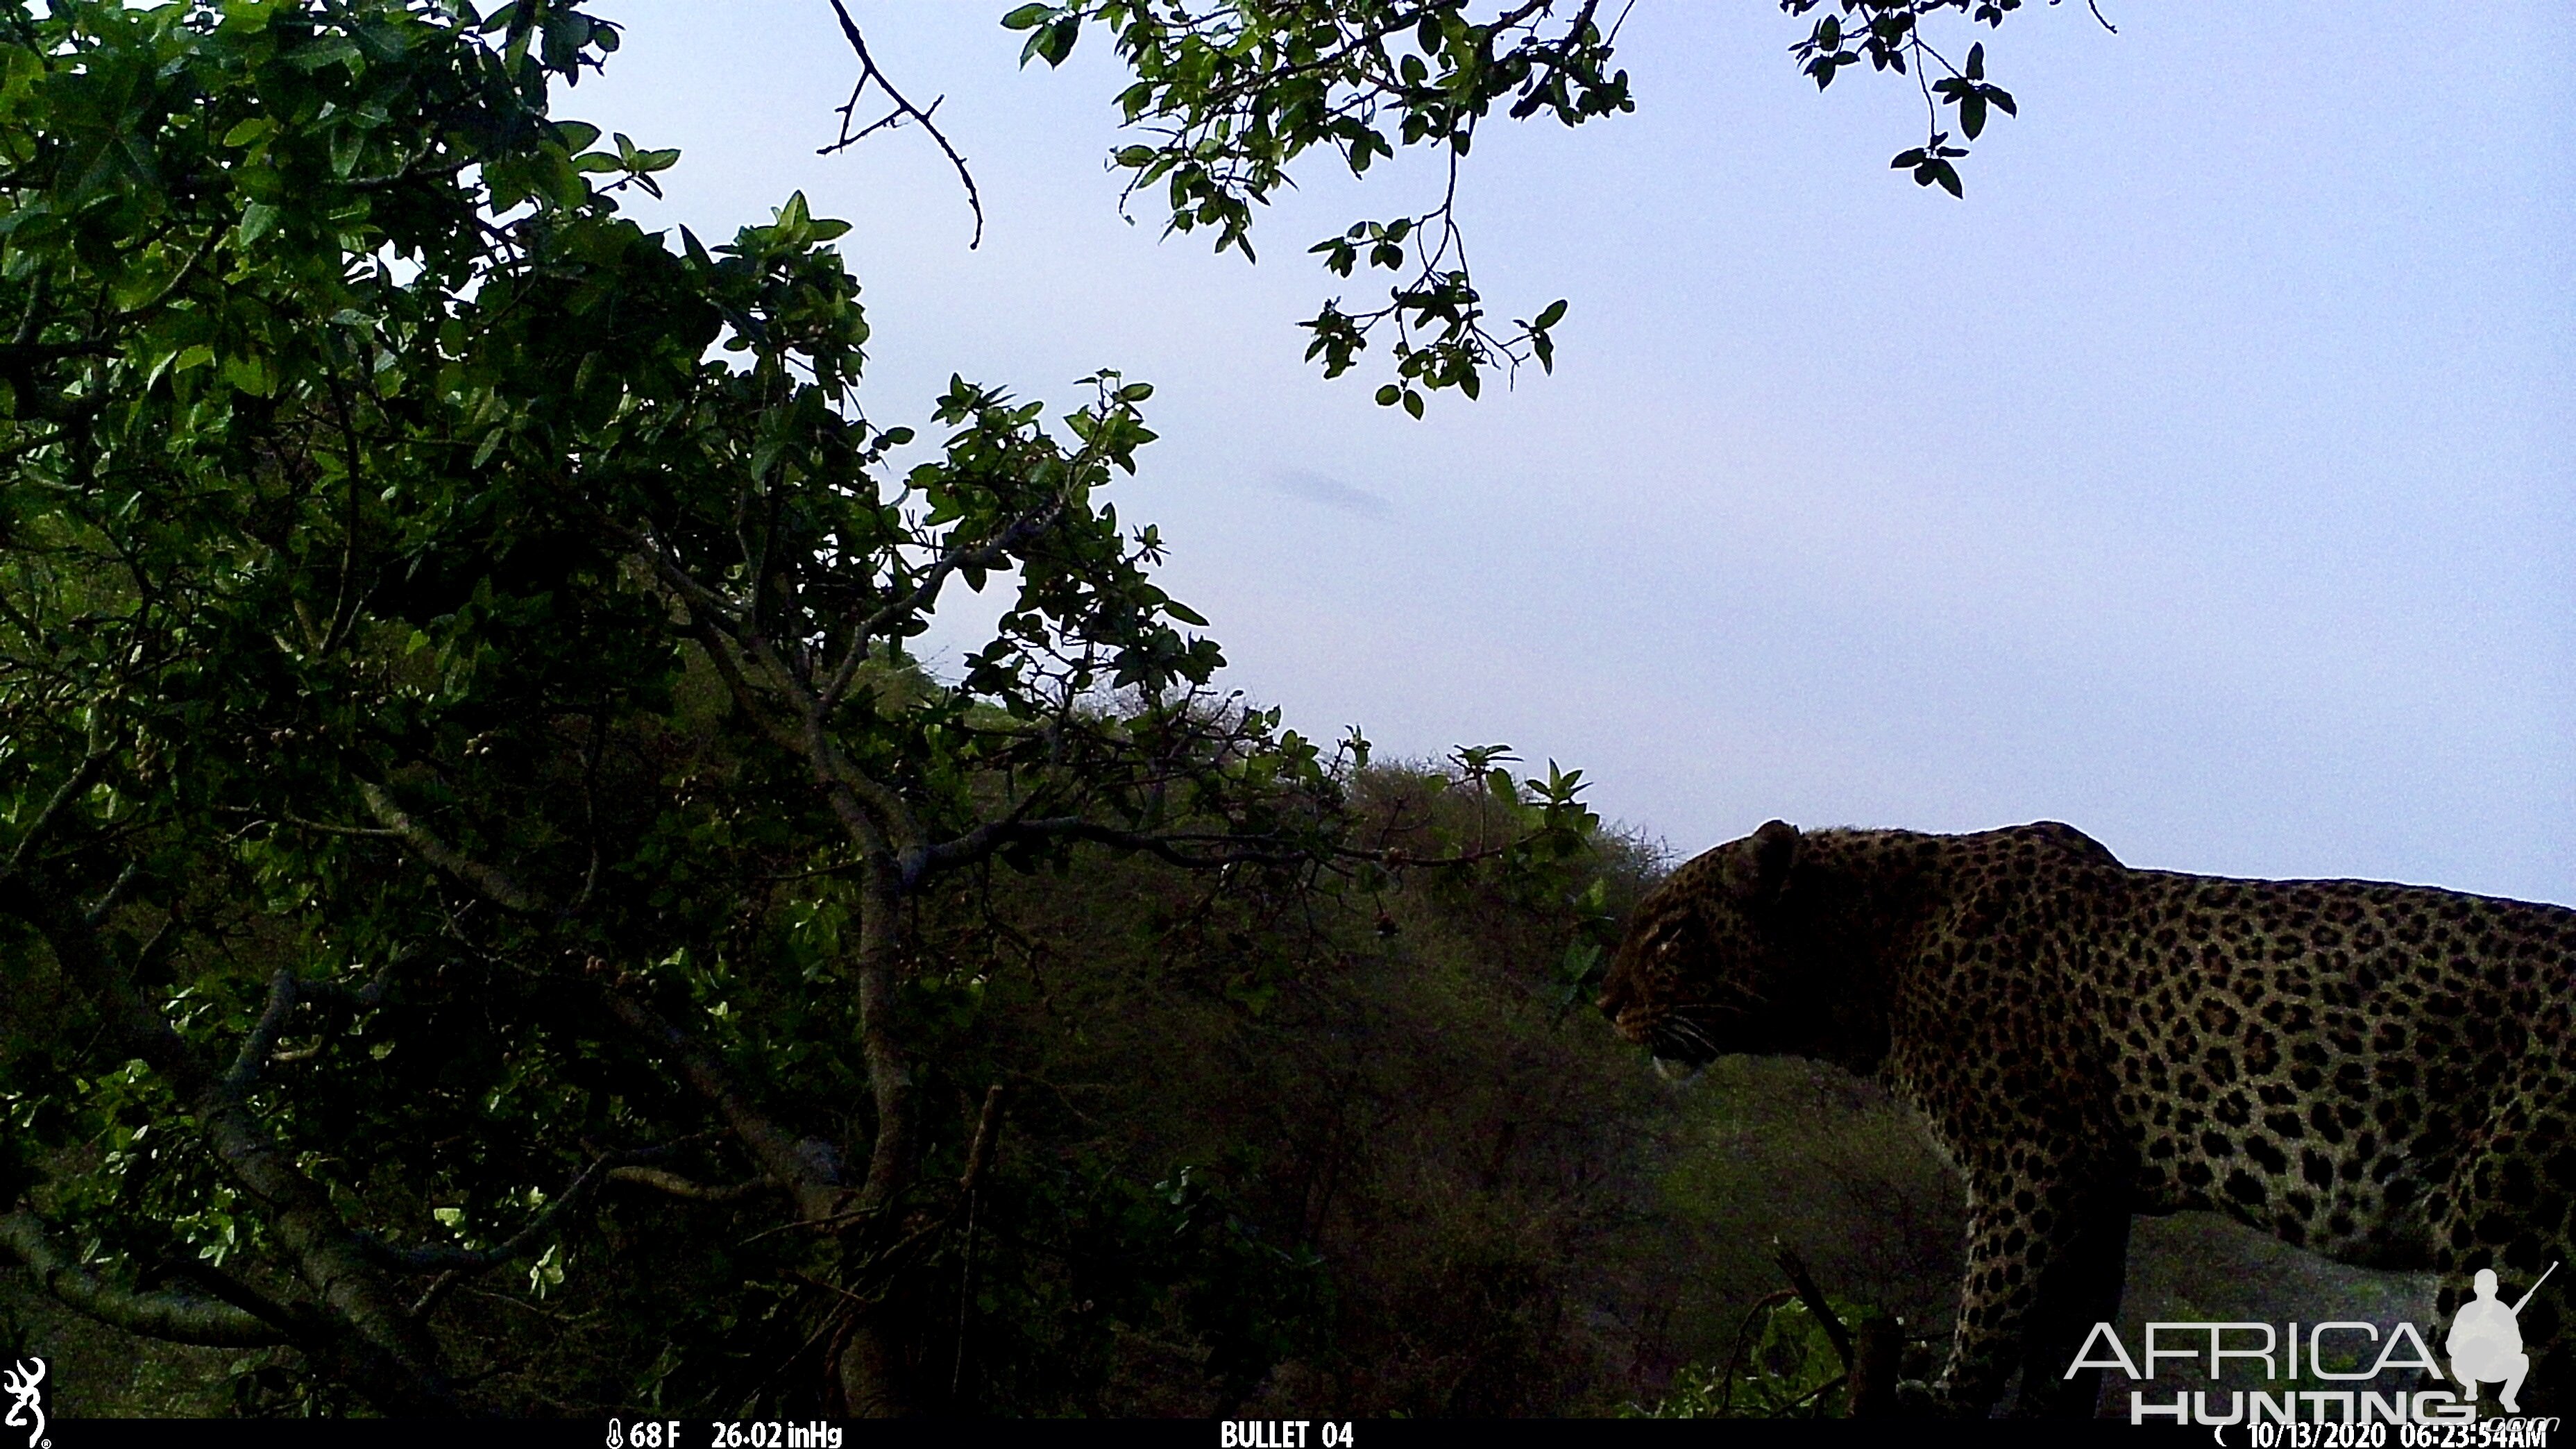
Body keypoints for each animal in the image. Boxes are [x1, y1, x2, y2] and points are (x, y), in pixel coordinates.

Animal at [1597, 820, 2576, 1412]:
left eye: (1671, 935)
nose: (1604, 1003)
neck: (1871, 958)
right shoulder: (2097, 1195)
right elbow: (2069, 1338)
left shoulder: (2028, 1159)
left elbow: (1991, 1306)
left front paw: (1943, 1395)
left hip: (2507, 1231)